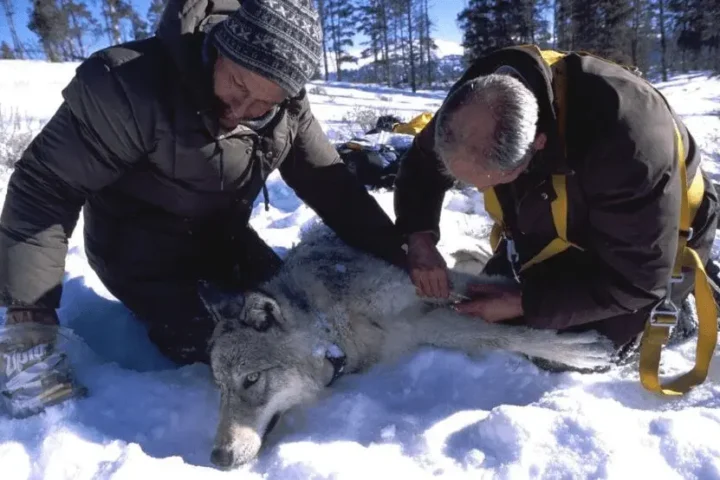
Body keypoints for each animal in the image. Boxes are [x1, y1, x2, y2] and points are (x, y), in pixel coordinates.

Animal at [200, 223, 617, 469]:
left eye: (251, 379)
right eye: (219, 388)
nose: (217, 458)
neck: (334, 326)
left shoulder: (431, 289)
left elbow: (507, 309)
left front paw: (579, 348)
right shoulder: (422, 326)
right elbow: (498, 333)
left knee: (472, 258)